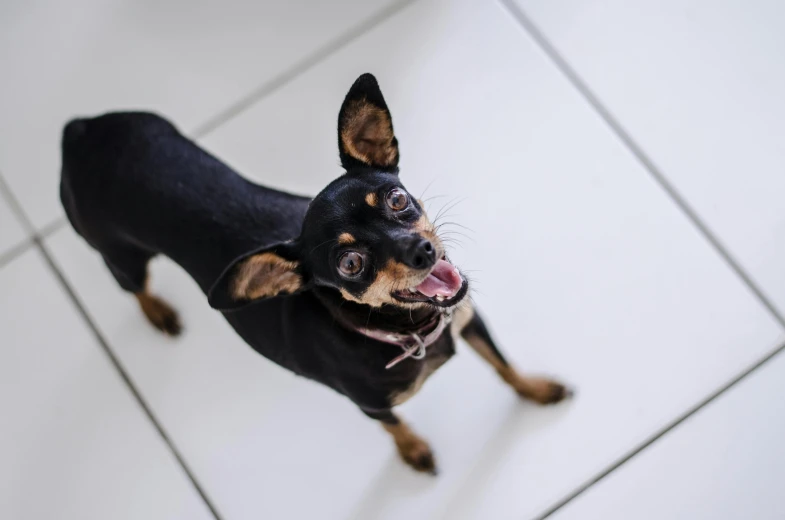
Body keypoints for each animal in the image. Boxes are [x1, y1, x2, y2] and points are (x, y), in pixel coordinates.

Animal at [58, 73, 568, 476]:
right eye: (350, 264)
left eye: (397, 199)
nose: (422, 251)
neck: (410, 332)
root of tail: (79, 132)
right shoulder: (371, 406)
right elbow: (396, 426)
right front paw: (414, 451)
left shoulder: (470, 321)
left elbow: (504, 366)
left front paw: (536, 389)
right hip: (120, 255)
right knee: (134, 288)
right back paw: (158, 312)